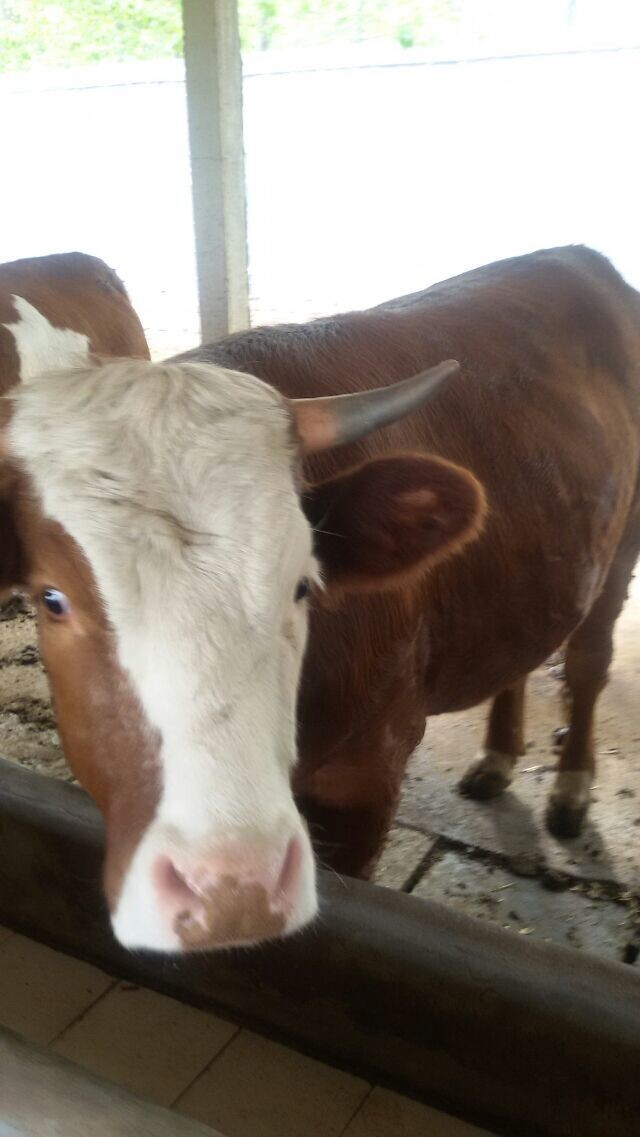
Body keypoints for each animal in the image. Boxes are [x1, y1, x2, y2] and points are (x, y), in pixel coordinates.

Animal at [1, 244, 640, 955]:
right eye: (51, 598)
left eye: (303, 582)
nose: (231, 891)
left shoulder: (370, 776)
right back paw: (497, 758)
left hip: (624, 543)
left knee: (588, 660)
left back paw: (571, 788)